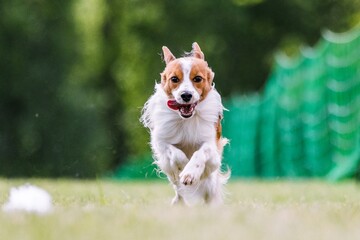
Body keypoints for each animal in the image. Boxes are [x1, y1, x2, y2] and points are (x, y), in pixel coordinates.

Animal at [140, 42, 228, 205]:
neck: (186, 119)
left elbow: (200, 153)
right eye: (174, 79)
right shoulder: (161, 141)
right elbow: (175, 154)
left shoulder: (211, 143)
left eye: (198, 78)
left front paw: (190, 173)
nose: (186, 95)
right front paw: (183, 167)